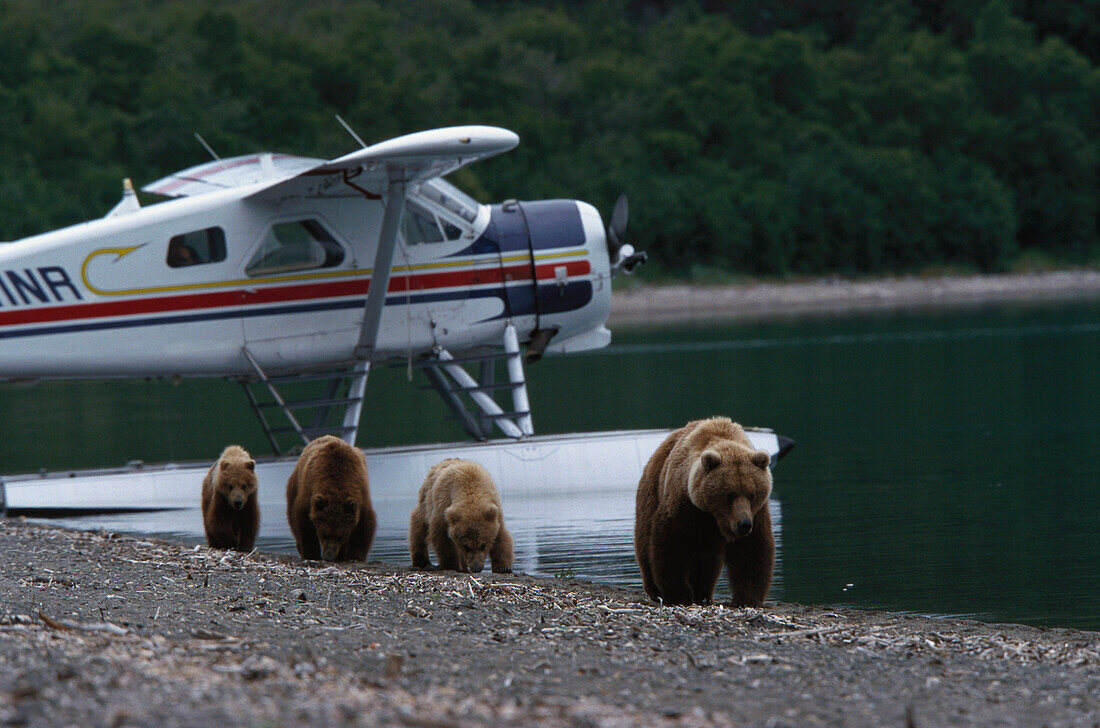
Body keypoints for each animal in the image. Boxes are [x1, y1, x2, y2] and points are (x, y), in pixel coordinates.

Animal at [286, 433, 376, 563]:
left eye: (340, 536)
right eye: (324, 534)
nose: (329, 556)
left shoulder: (360, 493)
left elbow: (364, 525)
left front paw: (355, 556)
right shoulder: (309, 490)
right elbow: (303, 522)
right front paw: (311, 553)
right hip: (294, 485)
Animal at [633, 415, 778, 611]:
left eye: (752, 494)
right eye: (729, 494)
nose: (744, 525)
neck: (714, 517)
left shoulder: (757, 513)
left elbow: (752, 550)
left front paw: (747, 598)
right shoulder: (684, 504)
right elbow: (672, 545)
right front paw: (679, 594)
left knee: (707, 563)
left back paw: (703, 593)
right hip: (651, 492)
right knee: (645, 543)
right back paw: (656, 591)